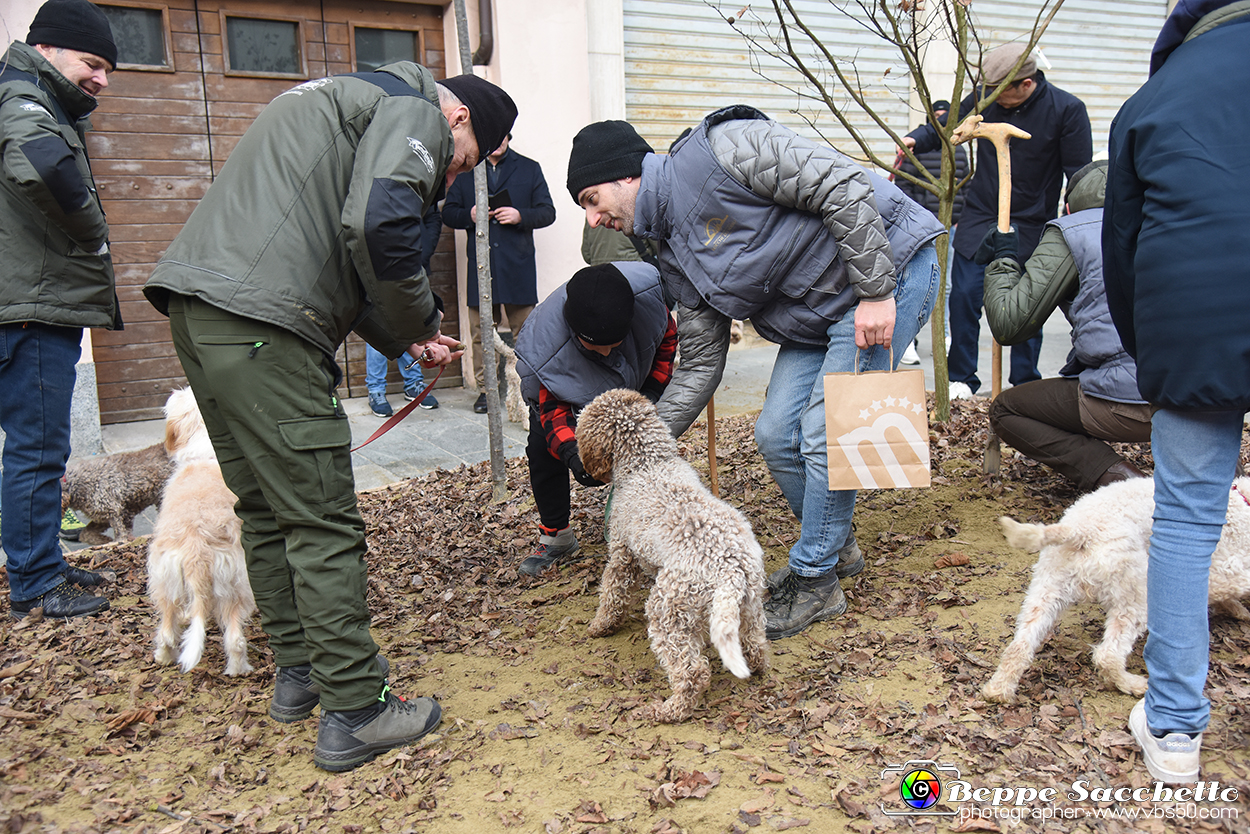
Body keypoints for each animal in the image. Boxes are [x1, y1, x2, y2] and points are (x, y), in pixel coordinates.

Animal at [146, 392, 253, 680]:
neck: (207, 454)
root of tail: (196, 547)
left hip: (167, 582)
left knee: (167, 632)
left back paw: (163, 658)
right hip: (230, 581)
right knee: (234, 639)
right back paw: (238, 670)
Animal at [577, 387, 770, 720]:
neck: (647, 464)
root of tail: (731, 568)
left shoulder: (623, 555)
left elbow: (611, 595)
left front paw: (600, 627)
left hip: (668, 609)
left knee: (693, 672)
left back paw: (670, 710)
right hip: (749, 605)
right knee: (755, 644)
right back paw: (754, 668)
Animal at [985, 475, 1250, 705]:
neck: (1241, 501)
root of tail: (1080, 532)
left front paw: (1235, 609)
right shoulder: (1224, 568)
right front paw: (1238, 610)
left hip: (1046, 593)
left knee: (1018, 646)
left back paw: (998, 690)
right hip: (1136, 597)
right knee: (1107, 655)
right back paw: (1132, 684)